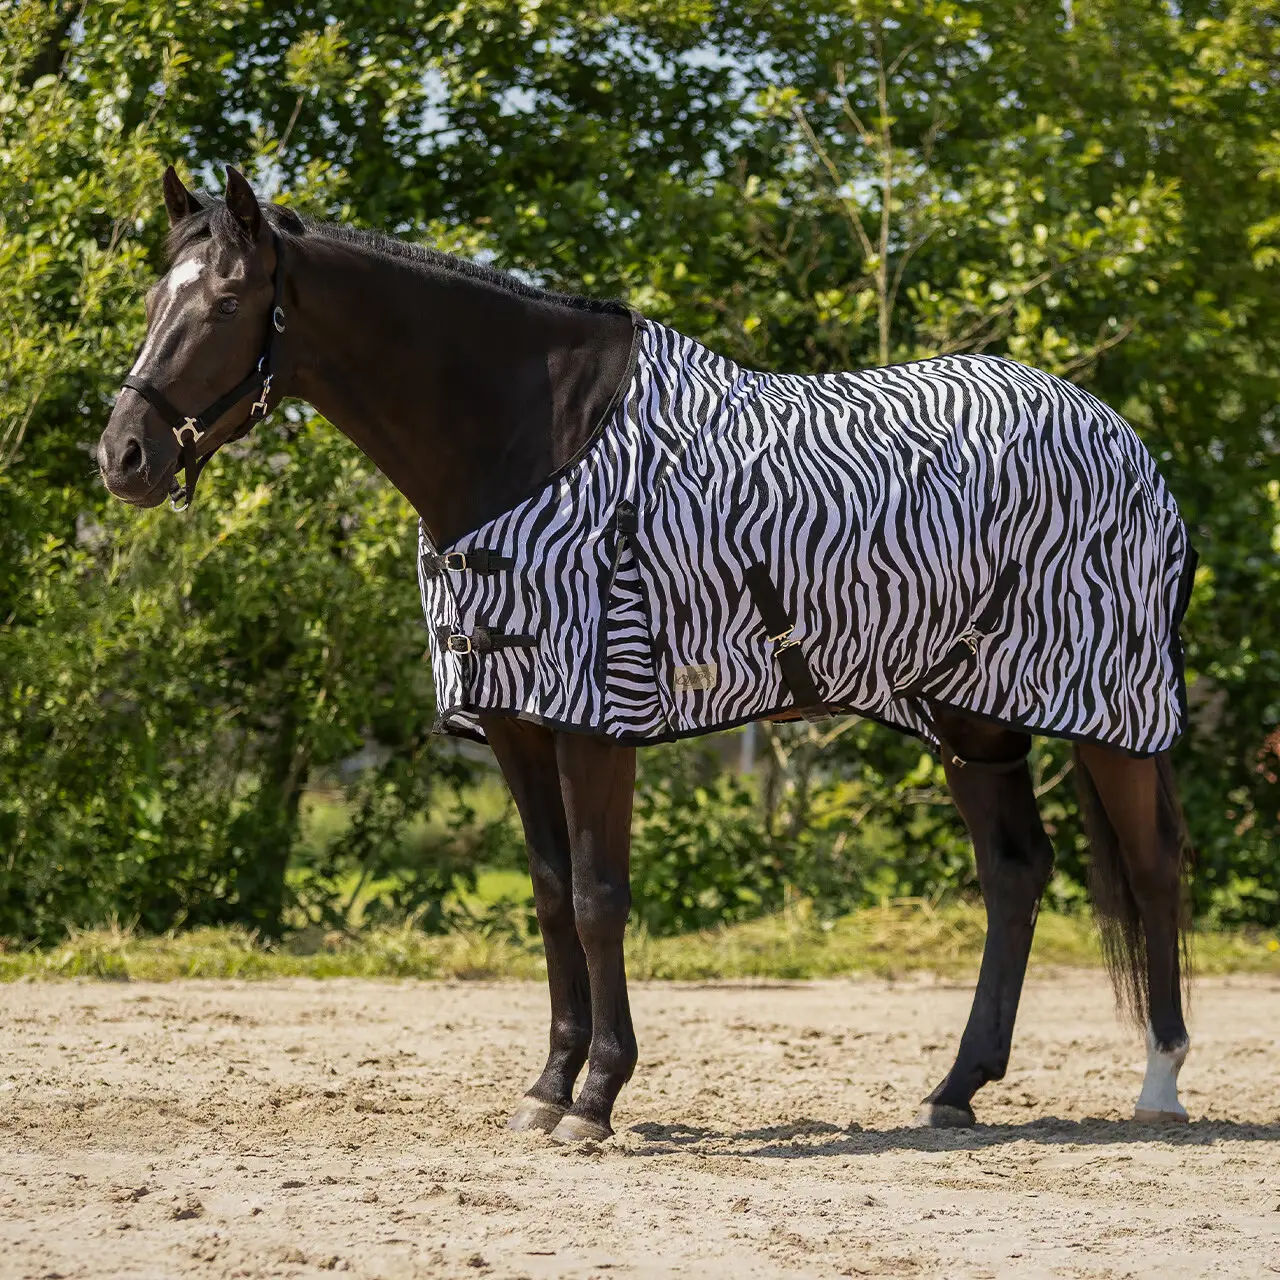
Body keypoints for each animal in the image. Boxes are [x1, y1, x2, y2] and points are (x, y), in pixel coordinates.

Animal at [97, 166, 1195, 1143]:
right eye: (154, 296)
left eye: (228, 299)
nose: (124, 456)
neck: (531, 444)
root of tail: (1124, 442)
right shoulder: (516, 719)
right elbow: (549, 896)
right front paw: (546, 1088)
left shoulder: (598, 716)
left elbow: (598, 898)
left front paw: (596, 1097)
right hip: (971, 717)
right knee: (1014, 873)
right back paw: (955, 1088)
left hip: (1114, 711)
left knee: (1150, 870)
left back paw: (1159, 1083)